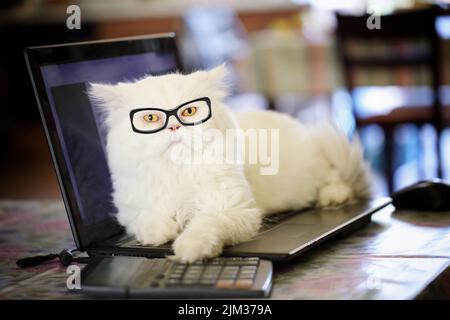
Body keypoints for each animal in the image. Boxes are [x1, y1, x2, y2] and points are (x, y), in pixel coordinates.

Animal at [89, 64, 372, 262]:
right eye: (150, 118)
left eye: (189, 111)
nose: (174, 126)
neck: (177, 170)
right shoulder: (131, 210)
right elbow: (147, 219)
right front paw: (161, 234)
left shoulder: (230, 210)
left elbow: (202, 227)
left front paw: (188, 250)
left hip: (317, 165)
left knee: (336, 178)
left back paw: (333, 196)